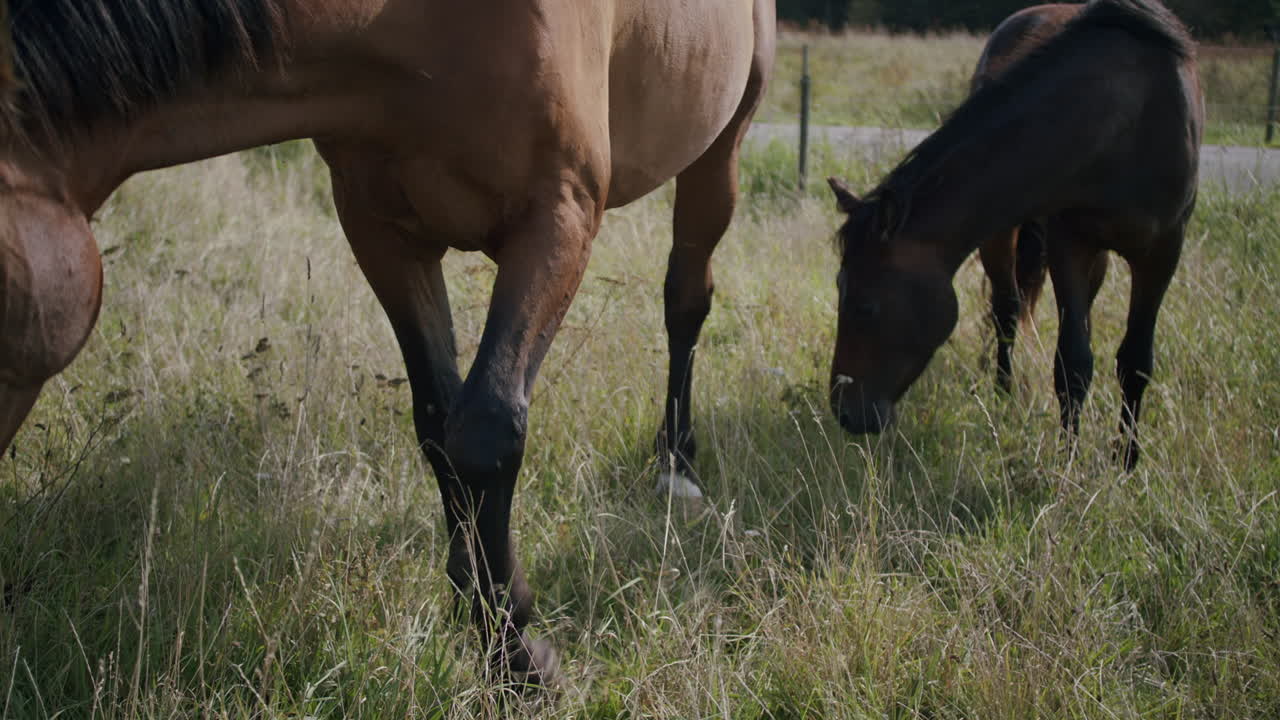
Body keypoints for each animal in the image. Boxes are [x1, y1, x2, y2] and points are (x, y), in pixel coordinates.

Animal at [0, 0, 776, 685]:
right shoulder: (382, 233)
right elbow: (439, 425)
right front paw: (487, 621)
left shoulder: (559, 216)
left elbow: (488, 429)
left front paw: (519, 659)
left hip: (723, 143)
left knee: (685, 300)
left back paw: (677, 464)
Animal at [825, 0, 1201, 470]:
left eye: (865, 306)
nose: (843, 411)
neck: (1125, 120)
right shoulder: (1068, 242)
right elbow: (1073, 361)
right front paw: (1069, 459)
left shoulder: (1163, 250)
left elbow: (1134, 361)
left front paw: (1126, 461)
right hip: (1004, 236)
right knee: (1006, 311)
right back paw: (1002, 397)